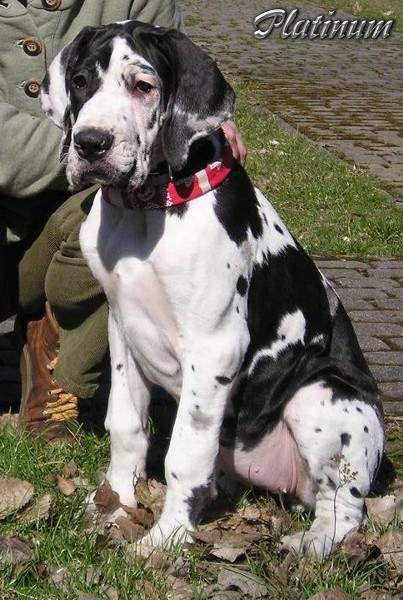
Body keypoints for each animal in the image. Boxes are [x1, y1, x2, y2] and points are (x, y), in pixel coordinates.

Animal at [41, 21, 384, 559]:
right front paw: (112, 505)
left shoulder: (215, 345)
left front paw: (165, 541)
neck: (148, 211)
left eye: (143, 86)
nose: (91, 143)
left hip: (322, 397)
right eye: (79, 82)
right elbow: (126, 427)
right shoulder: (123, 327)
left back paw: (310, 545)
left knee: (344, 506)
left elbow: (184, 454)